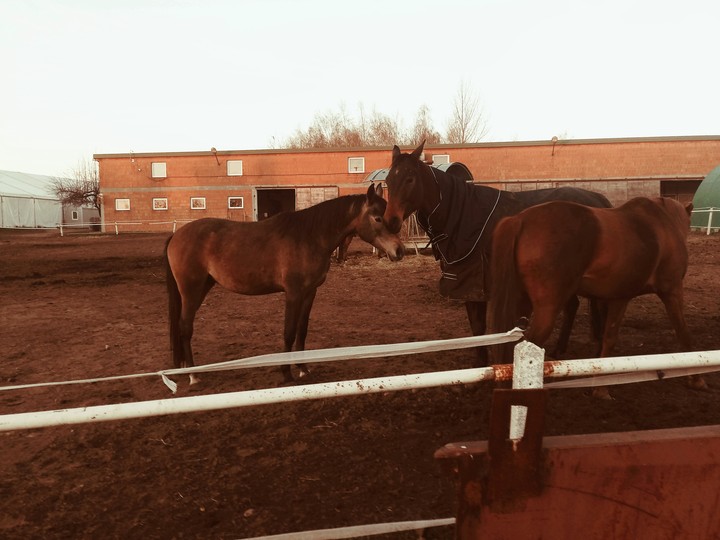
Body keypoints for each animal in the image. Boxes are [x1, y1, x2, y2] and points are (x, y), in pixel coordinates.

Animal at [165, 183, 404, 384]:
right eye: (378, 218)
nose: (399, 251)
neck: (309, 237)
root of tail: (177, 235)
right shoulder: (293, 293)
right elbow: (289, 331)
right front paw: (286, 373)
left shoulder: (310, 293)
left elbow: (302, 330)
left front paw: (303, 368)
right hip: (191, 291)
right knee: (185, 327)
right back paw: (194, 376)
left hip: (202, 287)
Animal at [383, 141, 612, 363]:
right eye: (388, 180)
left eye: (410, 179)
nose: (390, 221)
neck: (463, 215)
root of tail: (599, 201)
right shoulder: (468, 287)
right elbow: (477, 328)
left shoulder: (475, 285)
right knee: (573, 306)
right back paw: (559, 350)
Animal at [487, 196, 705, 397]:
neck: (662, 226)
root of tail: (520, 220)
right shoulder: (670, 291)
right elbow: (682, 333)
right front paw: (696, 379)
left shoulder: (610, 299)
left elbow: (604, 338)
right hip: (547, 309)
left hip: (521, 303)